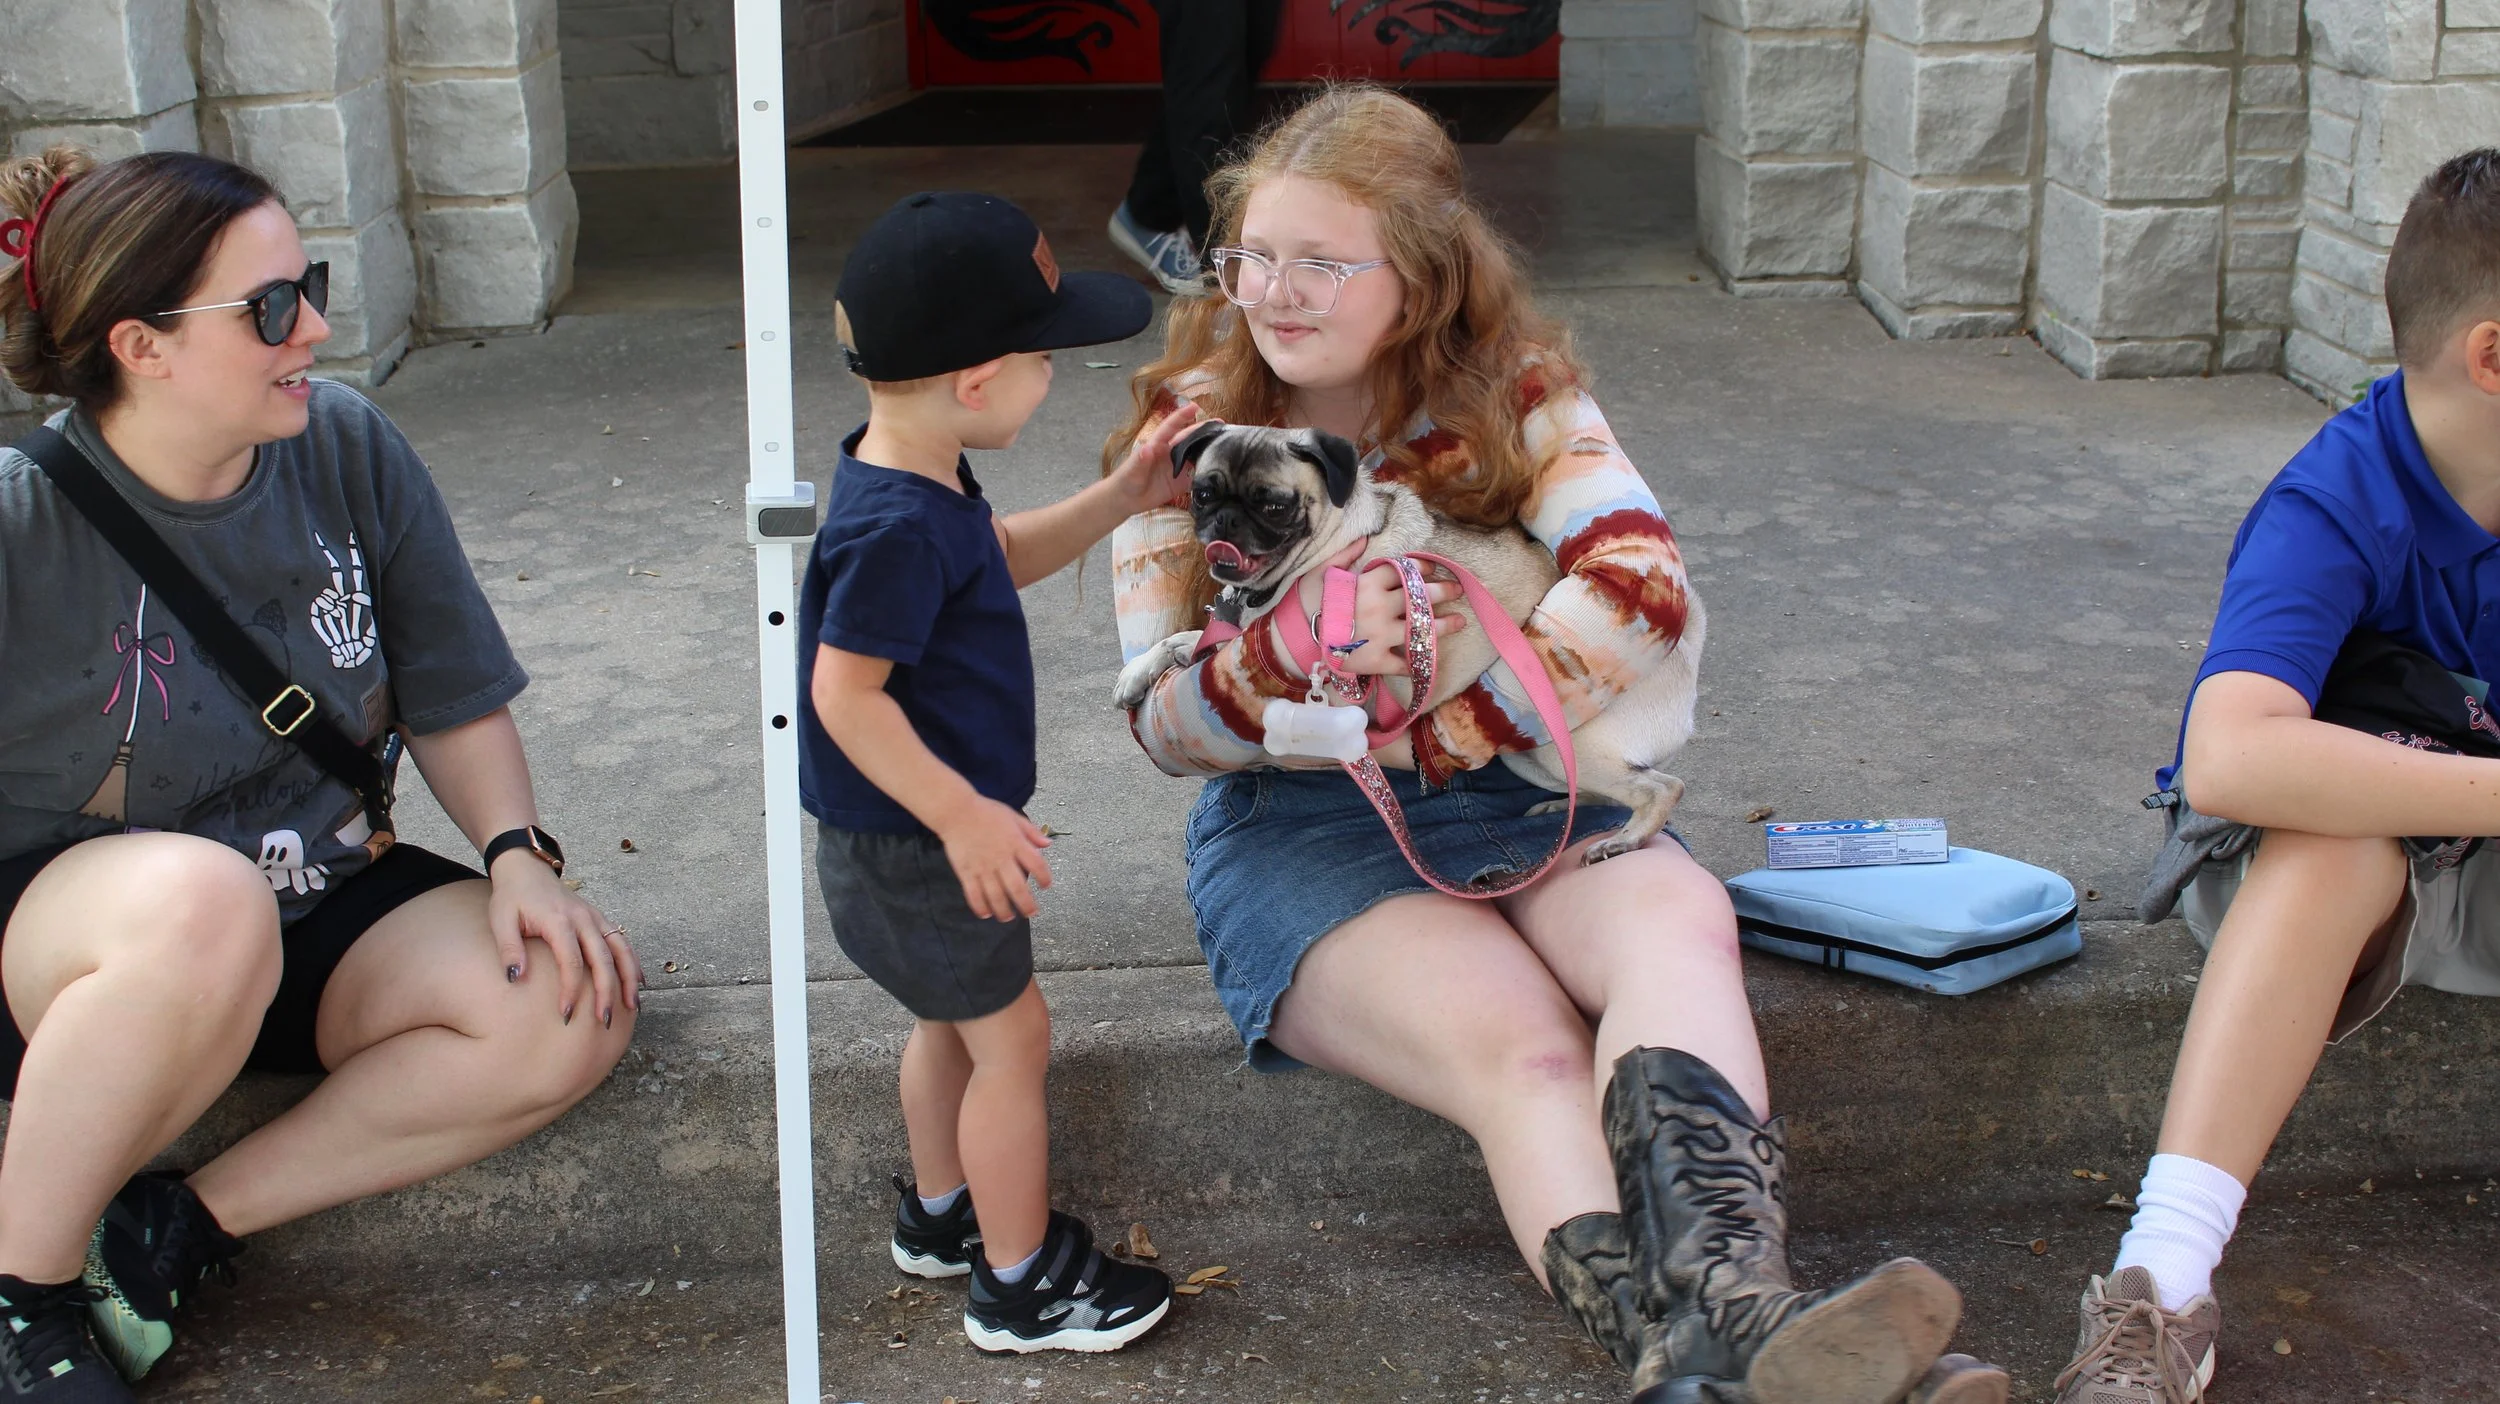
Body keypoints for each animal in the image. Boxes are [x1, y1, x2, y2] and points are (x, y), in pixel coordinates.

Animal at [1112, 422, 1706, 863]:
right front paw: (1143, 669)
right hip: (1531, 753)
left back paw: (1624, 839)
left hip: (1562, 738)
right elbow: (1193, 638)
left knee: (1662, 787)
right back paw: (1562, 811)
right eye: (1203, 494)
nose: (1226, 521)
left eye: (1275, 505)